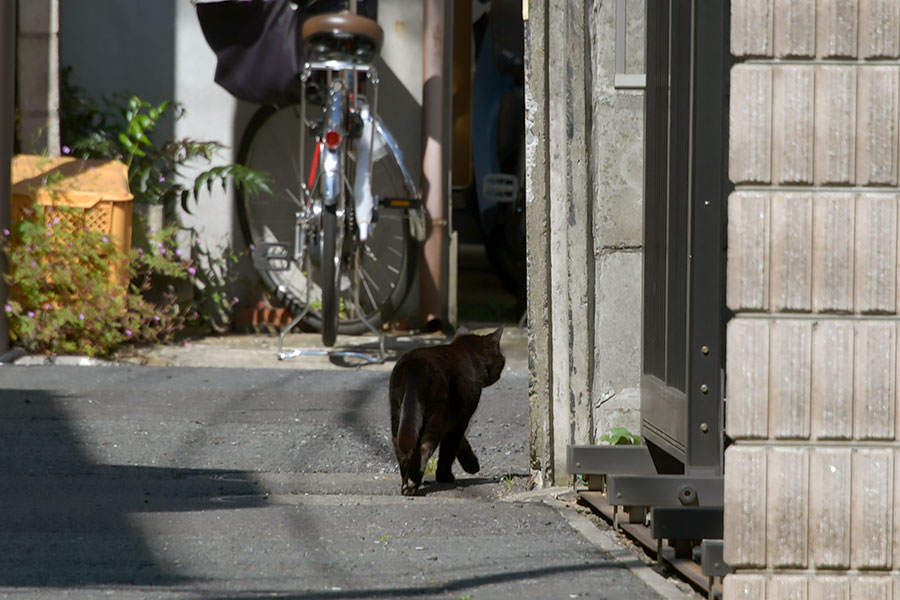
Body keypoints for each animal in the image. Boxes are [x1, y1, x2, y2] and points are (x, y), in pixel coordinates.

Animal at [388, 328, 506, 496]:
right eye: (501, 359)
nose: (503, 363)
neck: (468, 353)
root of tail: (414, 369)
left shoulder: (453, 419)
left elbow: (460, 442)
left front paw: (471, 464)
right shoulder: (462, 417)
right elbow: (450, 448)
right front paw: (445, 476)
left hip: (397, 413)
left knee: (401, 447)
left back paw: (406, 484)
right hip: (435, 417)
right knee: (424, 448)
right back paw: (413, 484)